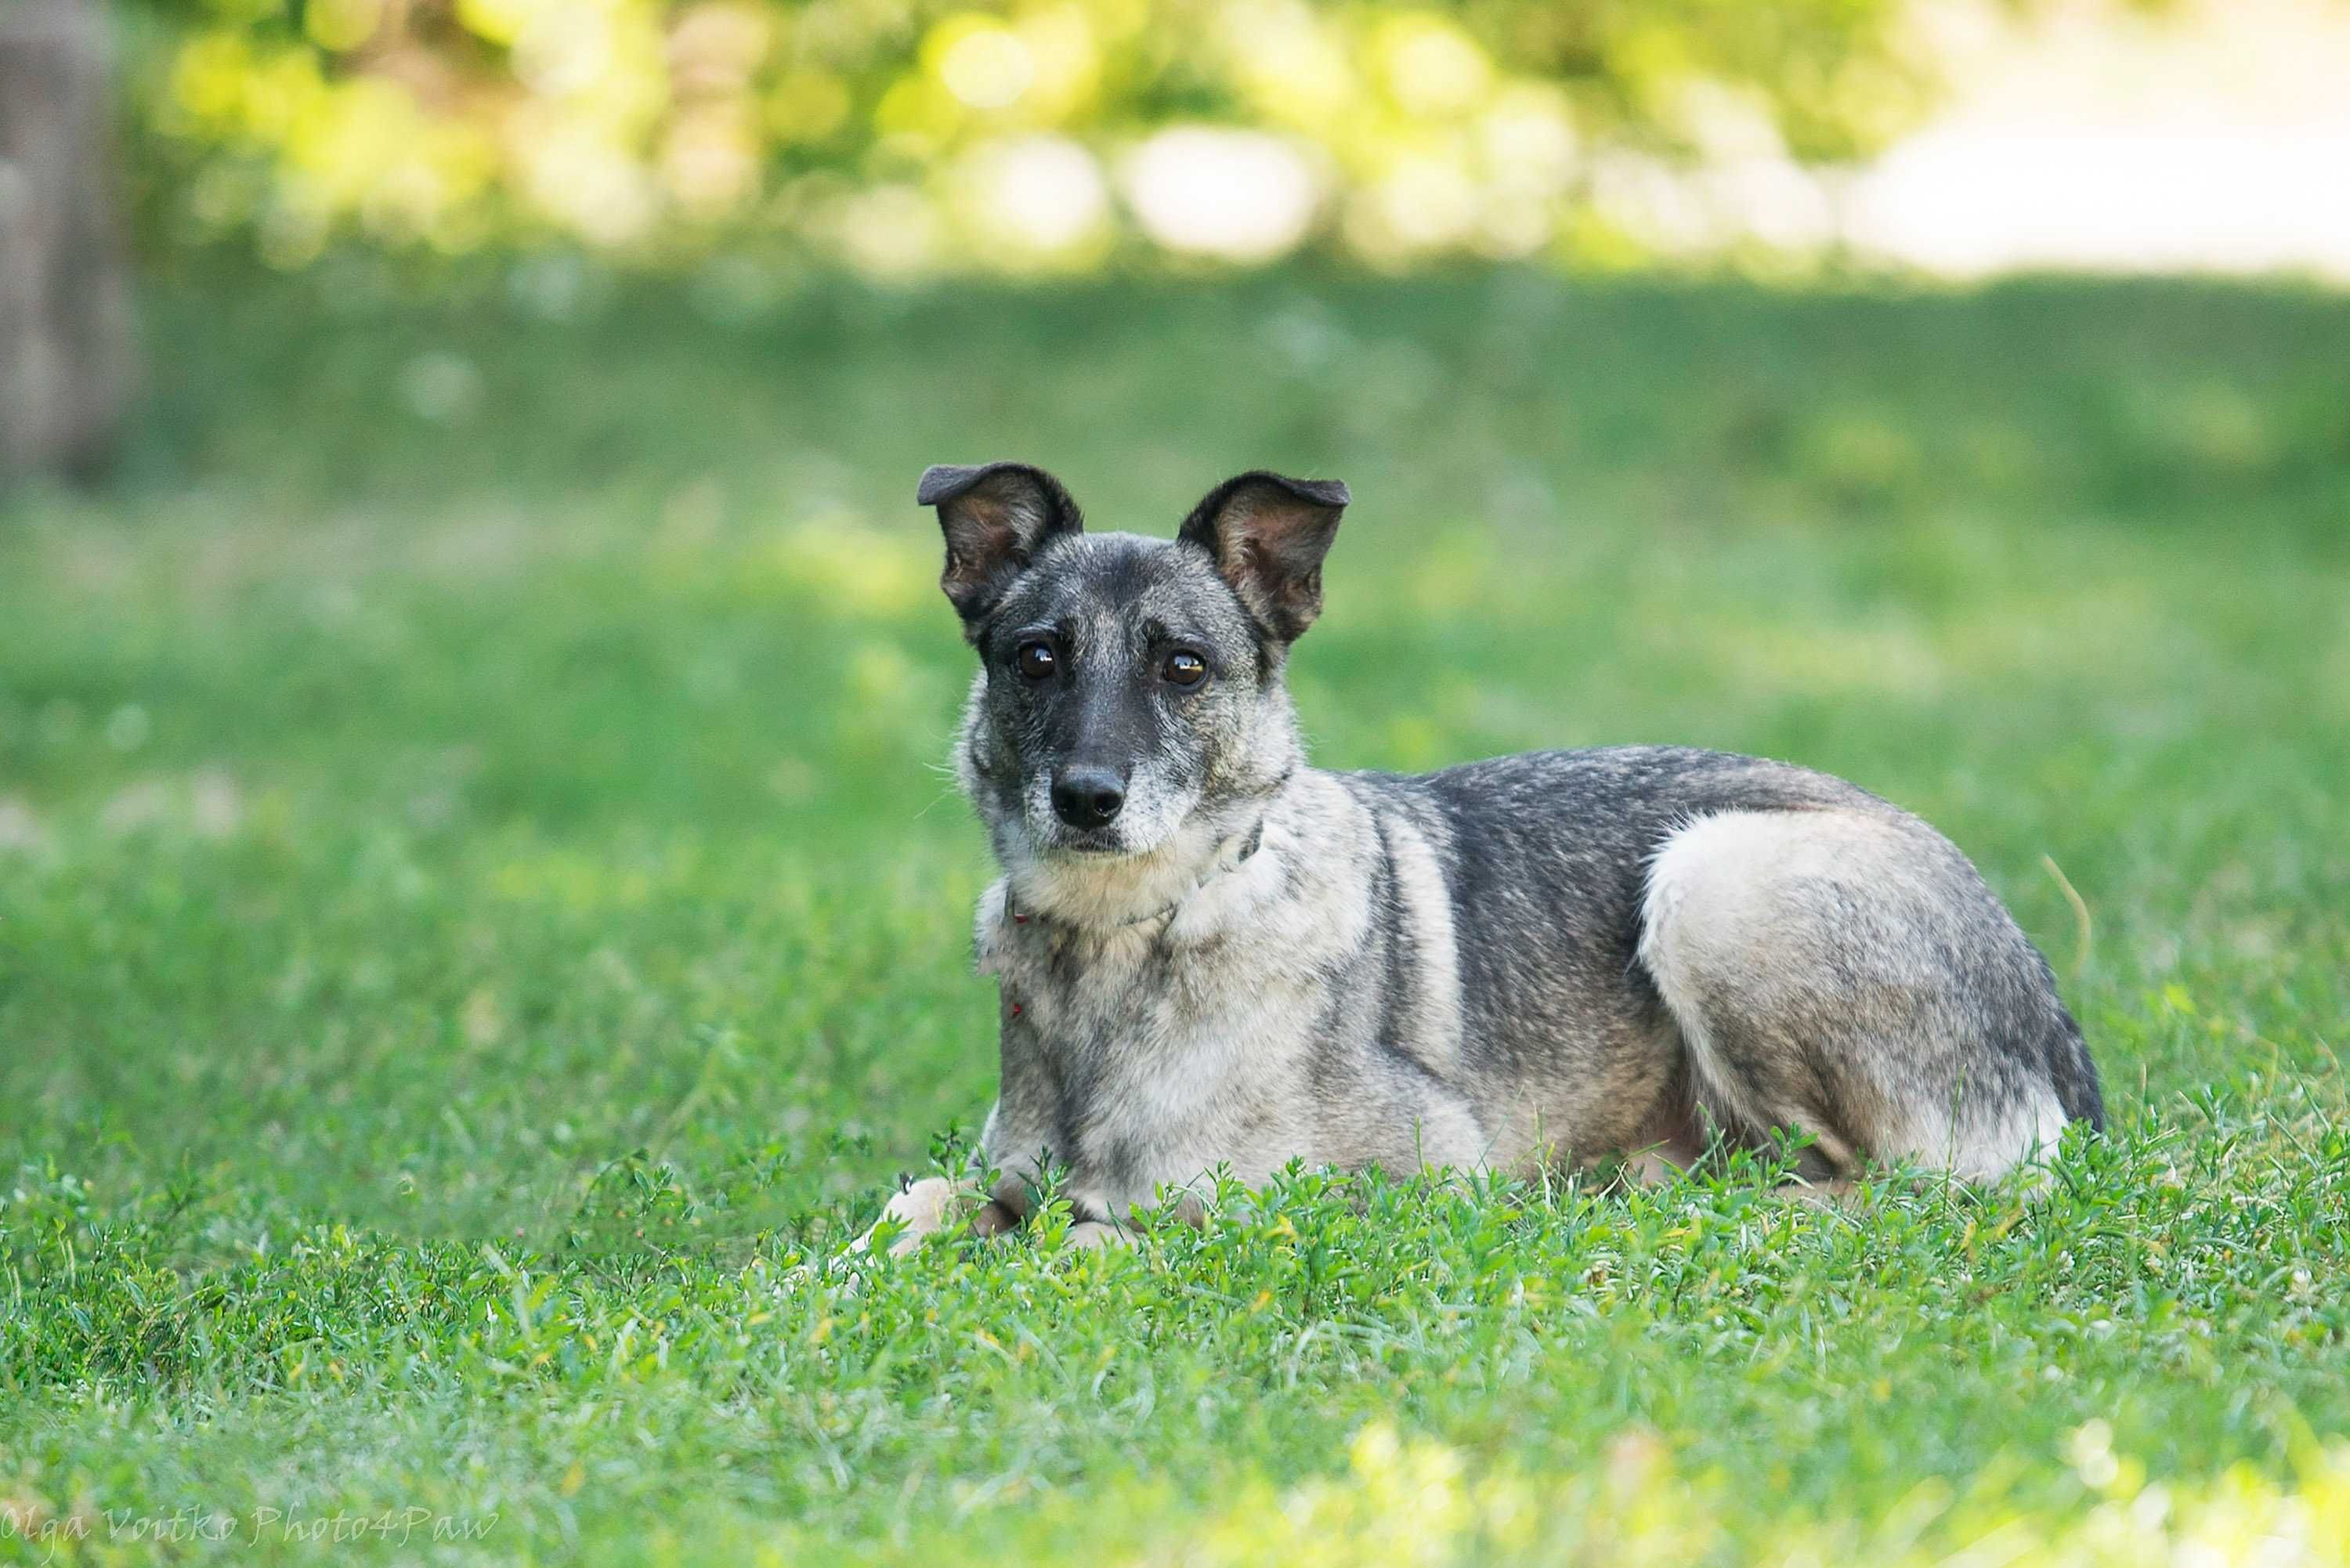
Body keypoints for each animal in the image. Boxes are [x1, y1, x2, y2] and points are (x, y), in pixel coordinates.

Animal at [855, 461, 2106, 1259]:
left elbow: (1120, 1227)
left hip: (1717, 882)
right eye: (1037, 658)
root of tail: (2048, 1006)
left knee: (1910, 1182)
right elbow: (908, 1207)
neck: (1136, 933)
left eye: (1184, 667)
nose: (1086, 799)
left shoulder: (1401, 1183)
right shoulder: (991, 1172)